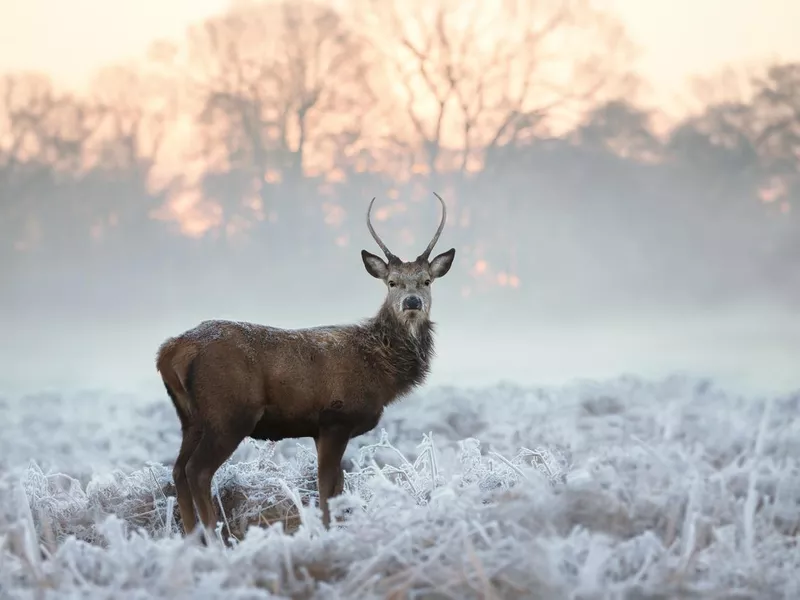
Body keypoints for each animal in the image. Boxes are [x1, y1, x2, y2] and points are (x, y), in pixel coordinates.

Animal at [155, 192, 456, 540]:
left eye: (426, 281)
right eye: (392, 282)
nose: (412, 302)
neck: (382, 372)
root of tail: (171, 351)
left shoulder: (321, 428)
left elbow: (336, 485)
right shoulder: (336, 417)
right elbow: (326, 487)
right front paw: (327, 533)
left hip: (191, 418)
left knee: (178, 469)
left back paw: (192, 540)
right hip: (229, 412)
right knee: (197, 470)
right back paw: (214, 538)